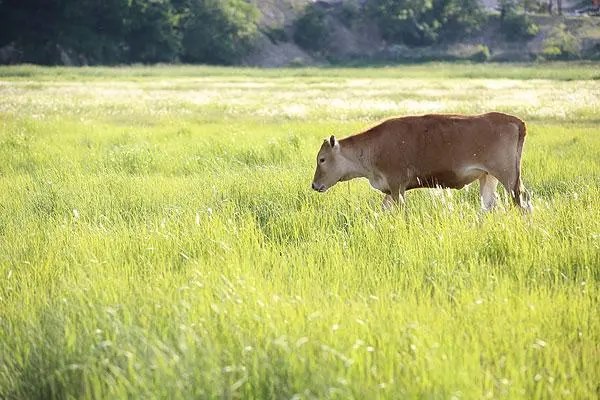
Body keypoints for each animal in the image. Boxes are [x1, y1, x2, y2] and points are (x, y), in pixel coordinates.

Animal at [312, 111, 532, 212]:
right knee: (488, 205)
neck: (373, 147)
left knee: (521, 200)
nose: (314, 185)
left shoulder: (396, 186)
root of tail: (516, 121)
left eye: (322, 159)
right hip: (488, 177)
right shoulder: (389, 190)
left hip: (509, 178)